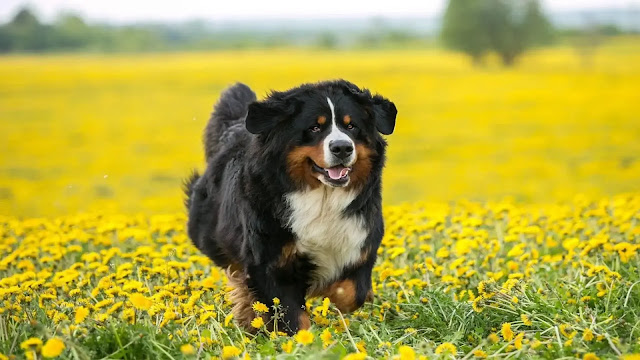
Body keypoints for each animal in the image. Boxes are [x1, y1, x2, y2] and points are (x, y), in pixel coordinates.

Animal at [182, 79, 398, 334]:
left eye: (351, 126)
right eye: (314, 128)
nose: (342, 147)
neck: (322, 198)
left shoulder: (361, 243)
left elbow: (354, 292)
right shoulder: (270, 263)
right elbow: (293, 318)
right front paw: (300, 340)